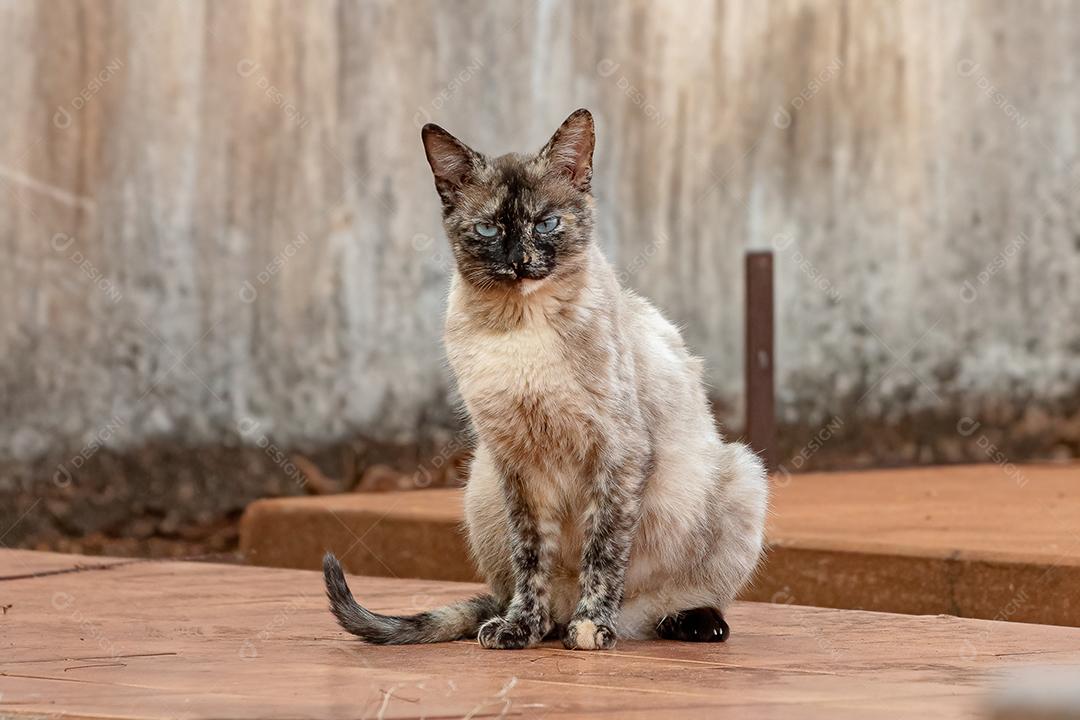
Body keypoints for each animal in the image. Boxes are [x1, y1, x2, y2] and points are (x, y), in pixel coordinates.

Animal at [319, 108, 768, 651]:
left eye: (547, 223)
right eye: (489, 229)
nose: (519, 261)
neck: (522, 324)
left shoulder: (617, 454)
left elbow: (603, 553)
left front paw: (592, 628)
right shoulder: (519, 463)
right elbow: (531, 557)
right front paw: (521, 627)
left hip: (742, 472)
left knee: (669, 603)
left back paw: (680, 623)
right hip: (481, 484)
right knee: (521, 593)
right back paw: (538, 625)